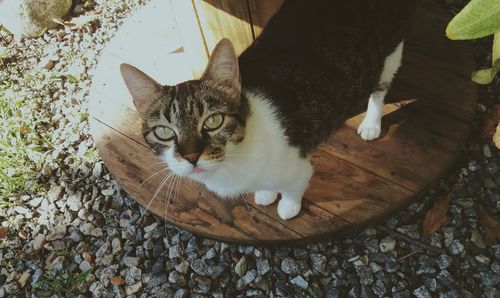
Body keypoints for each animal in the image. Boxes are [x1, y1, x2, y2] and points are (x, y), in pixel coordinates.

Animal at [120, 0, 414, 219]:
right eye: (163, 132)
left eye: (214, 120)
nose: (191, 156)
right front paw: (266, 194)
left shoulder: (297, 167)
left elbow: (294, 187)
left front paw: (288, 206)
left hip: (391, 51)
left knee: (380, 88)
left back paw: (371, 124)